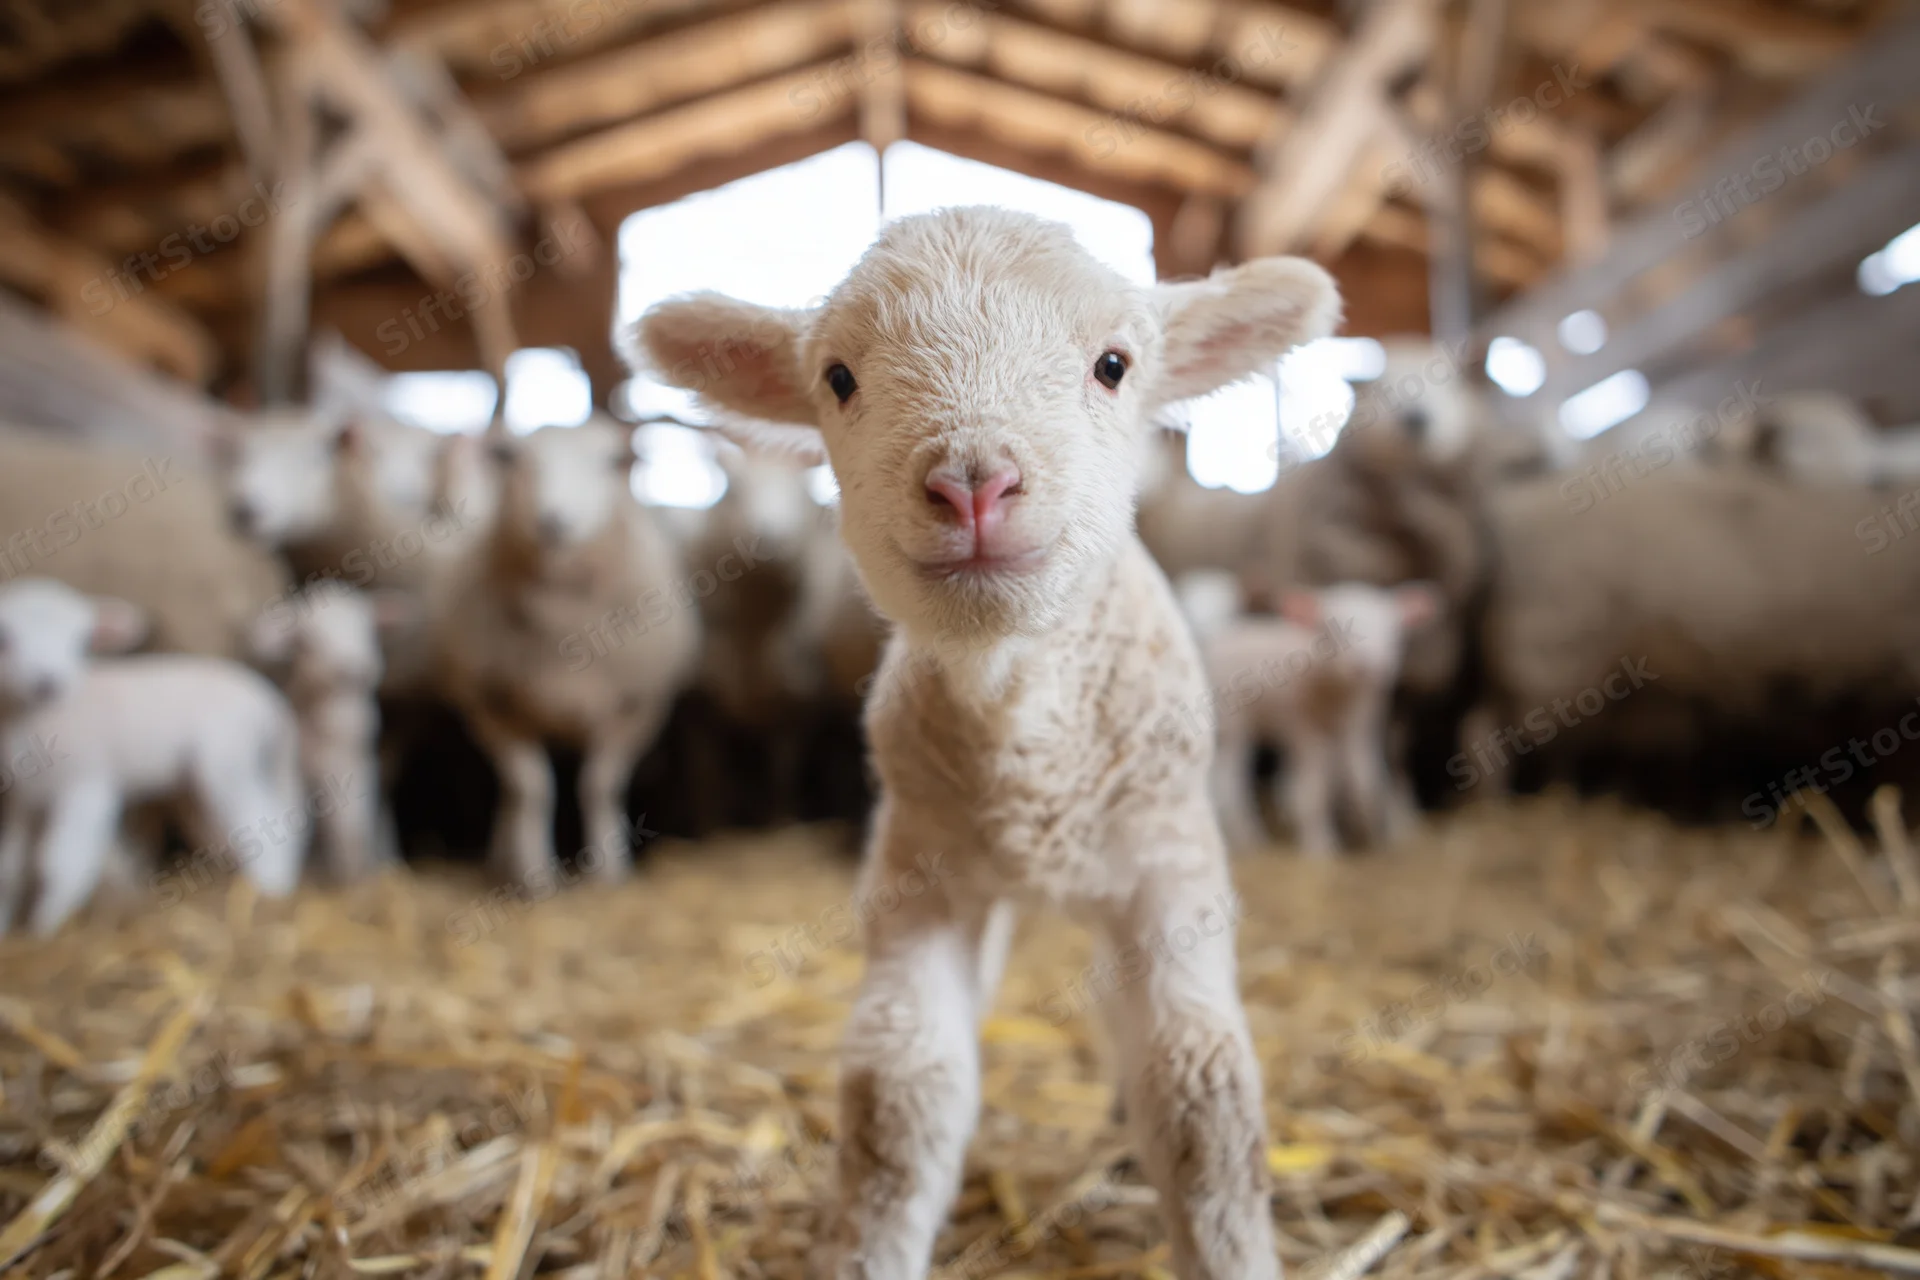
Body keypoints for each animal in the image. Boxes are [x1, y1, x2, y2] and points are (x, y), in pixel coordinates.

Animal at [0, 578, 306, 935]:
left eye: (82, 641)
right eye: (5, 639)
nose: (47, 684)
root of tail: (268, 701)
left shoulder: (88, 785)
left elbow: (60, 861)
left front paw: (44, 928)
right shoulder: (22, 801)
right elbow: (11, 868)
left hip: (226, 761)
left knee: (260, 820)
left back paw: (269, 894)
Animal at [435, 416, 698, 884]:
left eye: (612, 461)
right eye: (513, 458)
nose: (554, 521)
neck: (564, 627)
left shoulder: (640, 706)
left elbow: (599, 786)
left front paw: (609, 872)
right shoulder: (488, 703)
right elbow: (530, 788)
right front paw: (533, 875)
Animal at [634, 206, 1340, 1280]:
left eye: (1113, 365)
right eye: (838, 378)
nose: (973, 484)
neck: (1027, 730)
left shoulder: (1168, 868)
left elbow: (1199, 1088)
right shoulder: (919, 874)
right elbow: (899, 1088)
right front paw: (867, 1253)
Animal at [1187, 582, 1440, 856]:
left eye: (1394, 629)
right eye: (1329, 629)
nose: (1366, 667)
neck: (1339, 694)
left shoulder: (1360, 723)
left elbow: (1363, 778)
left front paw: (1368, 832)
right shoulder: (1304, 726)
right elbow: (1313, 789)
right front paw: (1321, 849)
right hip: (1233, 723)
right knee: (1228, 782)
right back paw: (1249, 841)